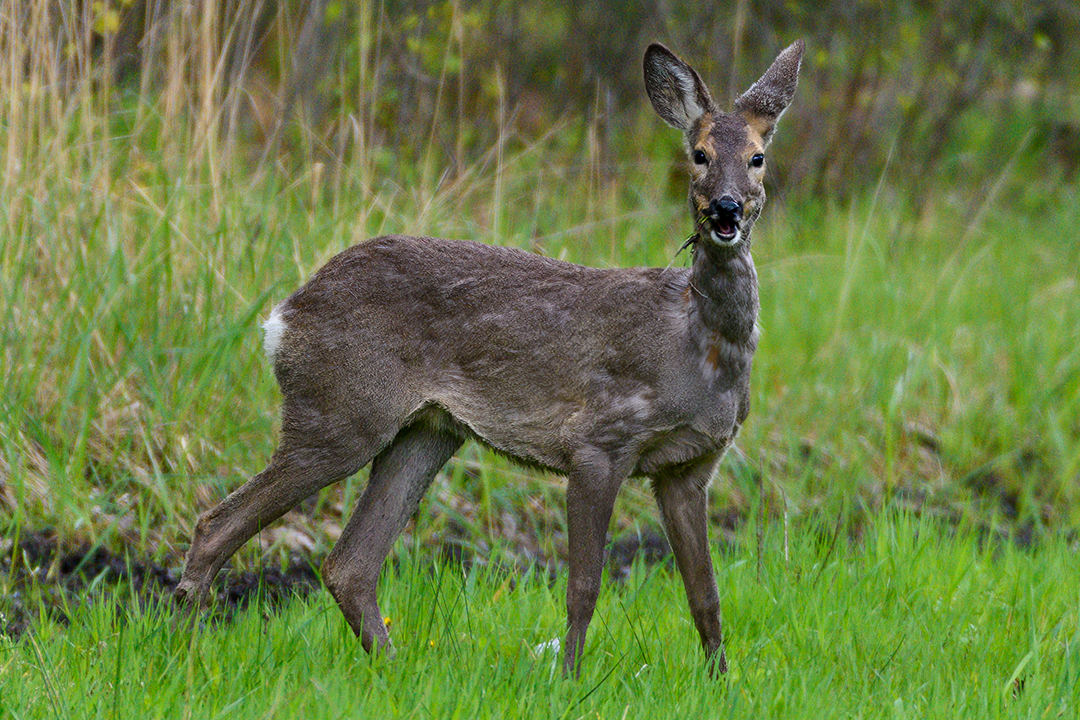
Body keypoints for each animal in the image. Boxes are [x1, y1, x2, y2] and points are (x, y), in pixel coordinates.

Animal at [174, 39, 803, 677]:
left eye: (757, 157)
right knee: (216, 524)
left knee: (349, 564)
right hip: (341, 411)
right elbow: (584, 585)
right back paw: (185, 651)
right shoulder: (600, 440)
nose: (726, 209)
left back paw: (395, 670)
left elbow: (705, 595)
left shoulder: (688, 469)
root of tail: (281, 317)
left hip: (425, 432)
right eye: (699, 155)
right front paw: (569, 678)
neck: (698, 348)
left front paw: (720, 680)